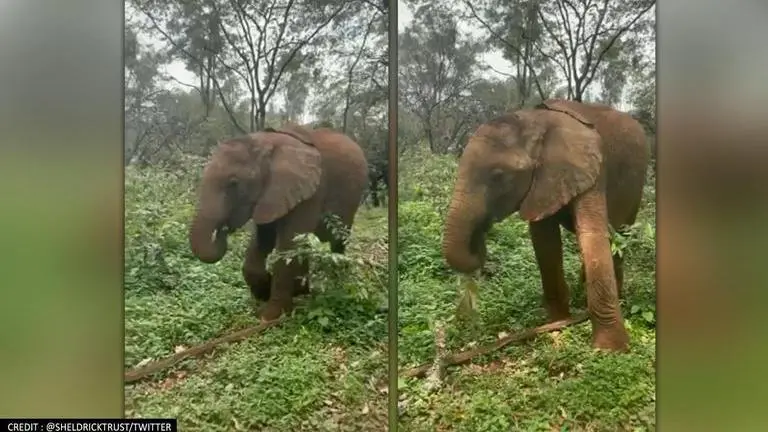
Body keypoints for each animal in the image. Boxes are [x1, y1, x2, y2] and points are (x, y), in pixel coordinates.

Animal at [188, 124, 369, 322]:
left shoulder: (311, 191)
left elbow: (289, 243)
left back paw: (337, 283)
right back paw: (301, 292)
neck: (267, 143)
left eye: (233, 183)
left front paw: (269, 316)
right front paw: (264, 292)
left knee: (337, 241)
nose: (224, 229)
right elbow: (264, 239)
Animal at [441, 99, 649, 352]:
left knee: (620, 236)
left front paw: (610, 350)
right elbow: (545, 242)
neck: (535, 120)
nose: (480, 235)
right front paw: (557, 324)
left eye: (499, 176)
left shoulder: (593, 168)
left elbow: (592, 233)